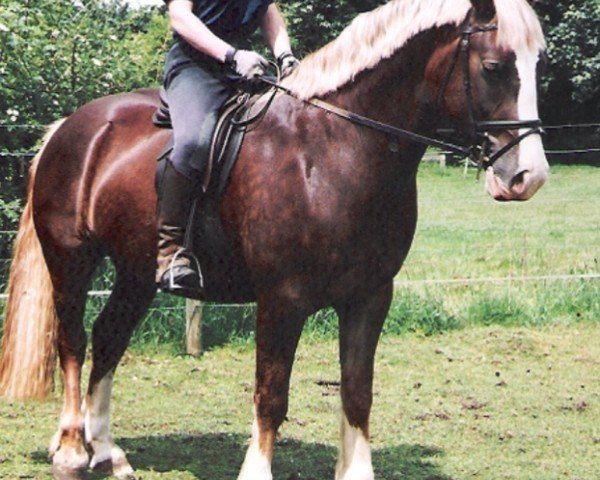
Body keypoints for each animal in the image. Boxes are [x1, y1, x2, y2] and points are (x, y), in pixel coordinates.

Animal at [0, 0, 548, 478]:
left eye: (536, 63)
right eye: (495, 66)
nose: (528, 177)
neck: (335, 149)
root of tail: (70, 127)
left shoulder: (370, 297)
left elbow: (357, 392)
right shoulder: (282, 299)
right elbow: (271, 393)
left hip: (137, 272)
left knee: (108, 337)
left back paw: (108, 452)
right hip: (72, 260)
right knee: (72, 341)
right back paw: (72, 450)